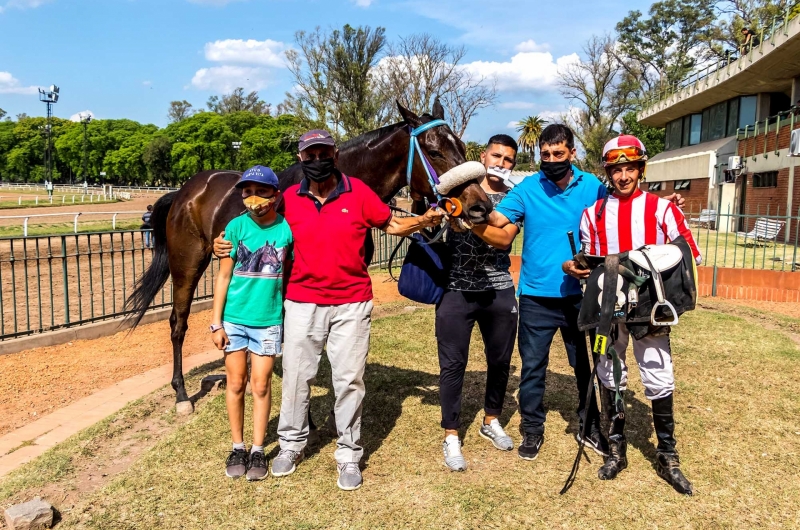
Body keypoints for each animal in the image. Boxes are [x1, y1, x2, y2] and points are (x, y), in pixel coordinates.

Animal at [125, 101, 490, 410]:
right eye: (434, 151)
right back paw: (182, 394)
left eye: (461, 146)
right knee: (178, 322)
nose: (480, 206)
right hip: (187, 262)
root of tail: (184, 191)